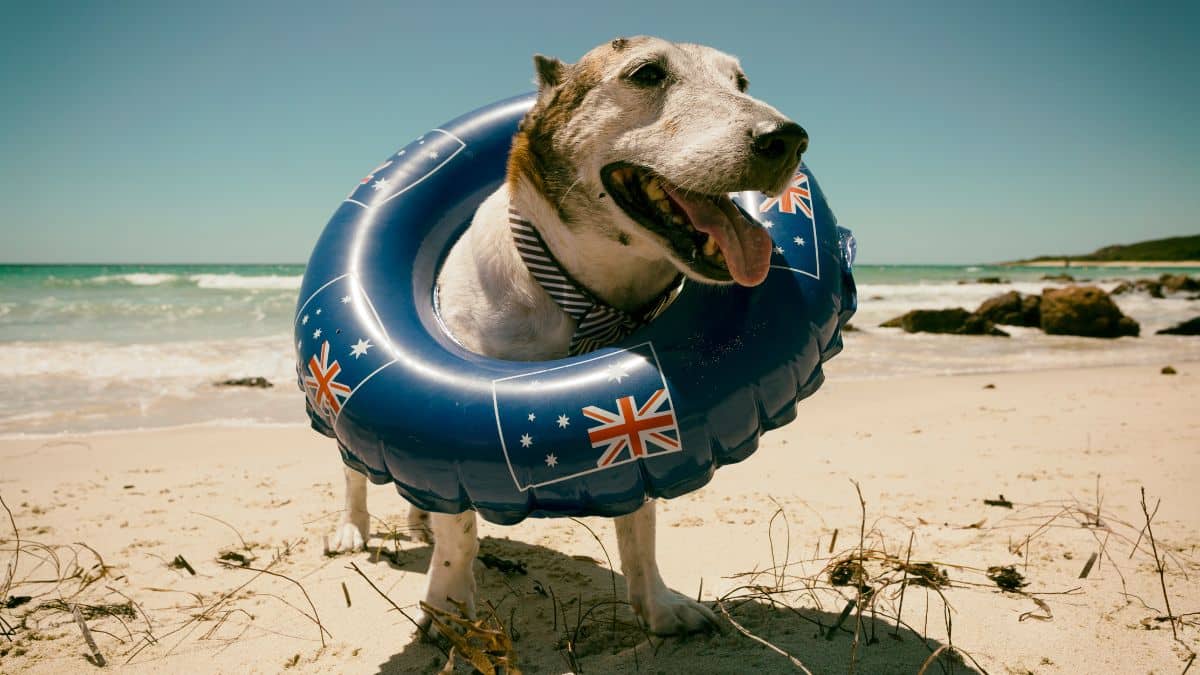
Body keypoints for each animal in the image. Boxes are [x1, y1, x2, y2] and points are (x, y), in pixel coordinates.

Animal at [328, 35, 806, 634]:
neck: (586, 297)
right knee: (355, 473)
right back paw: (352, 529)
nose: (788, 139)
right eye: (647, 73)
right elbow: (458, 531)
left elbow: (640, 526)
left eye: (741, 82)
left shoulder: (637, 428)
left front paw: (658, 606)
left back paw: (417, 519)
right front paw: (452, 611)